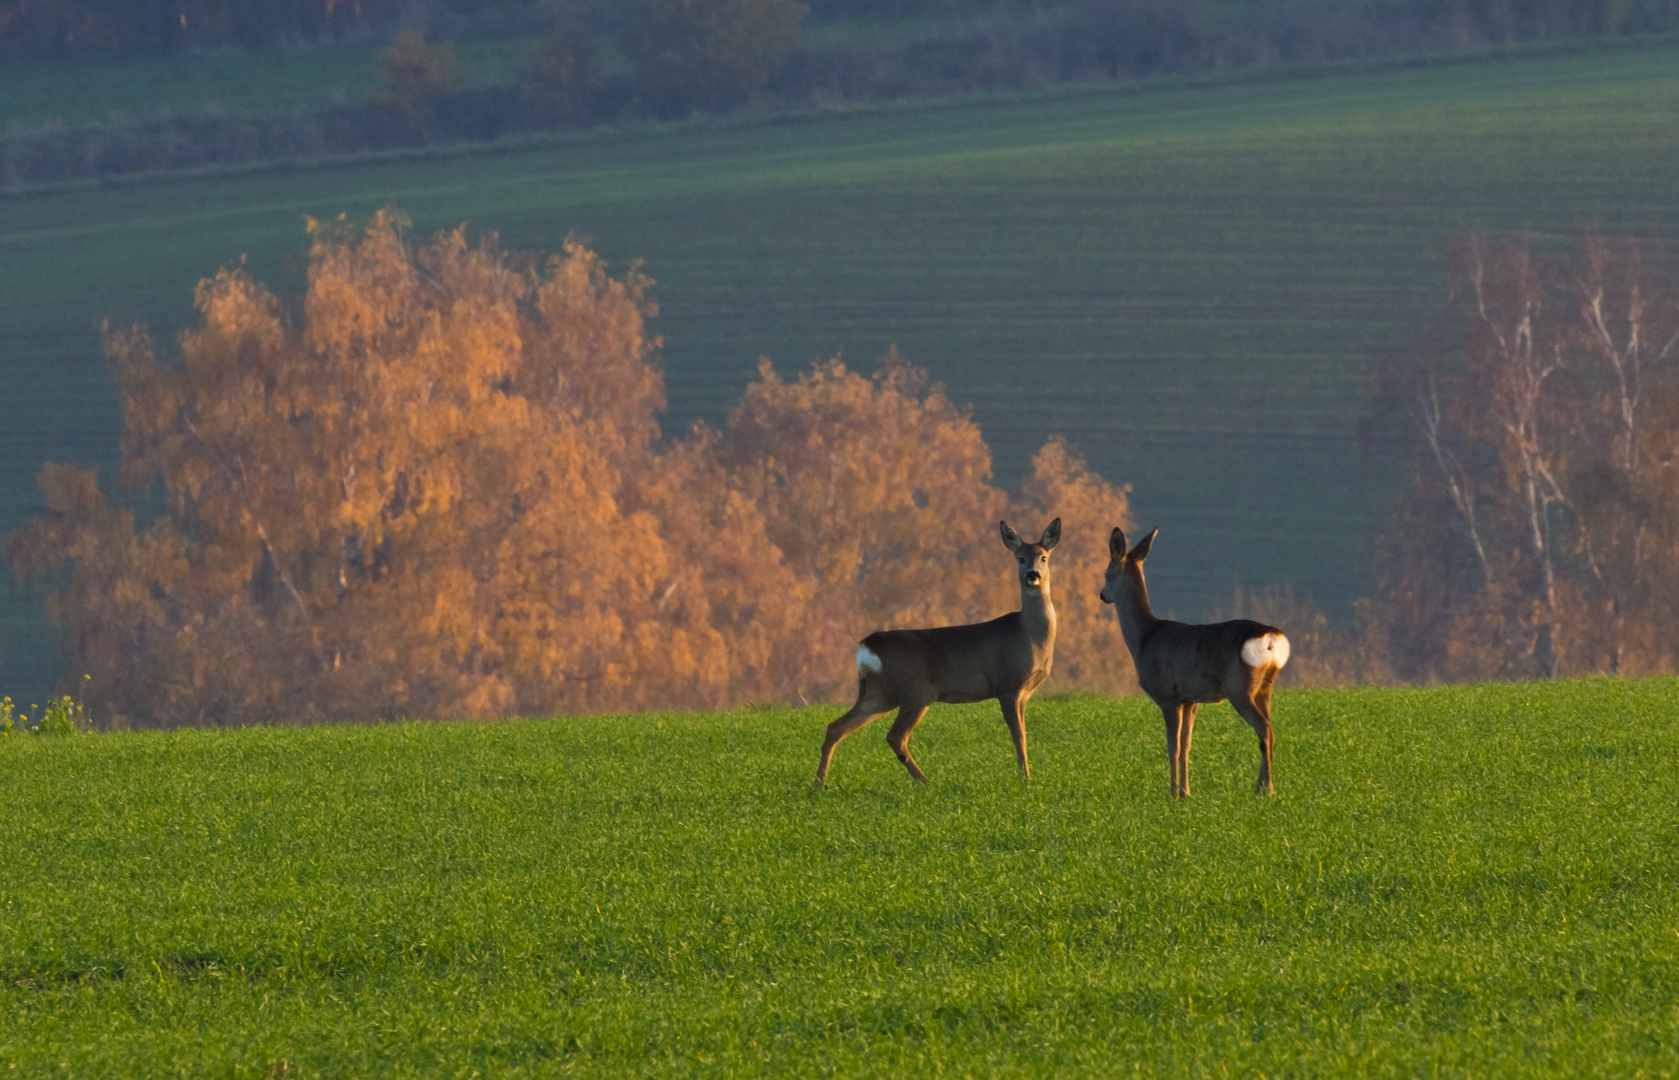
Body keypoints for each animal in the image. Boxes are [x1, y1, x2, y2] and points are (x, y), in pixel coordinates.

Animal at [812, 520, 1061, 789]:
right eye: (1020, 558)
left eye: (1044, 557)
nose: (1033, 575)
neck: (1028, 634)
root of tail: (865, 647)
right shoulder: (1008, 685)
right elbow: (1018, 736)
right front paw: (1025, 779)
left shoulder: (1024, 693)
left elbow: (1023, 733)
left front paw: (1026, 776)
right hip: (915, 691)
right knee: (895, 736)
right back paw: (926, 782)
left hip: (879, 694)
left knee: (835, 727)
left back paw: (818, 784)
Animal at [1094, 527, 1289, 799]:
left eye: (1106, 573)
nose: (1102, 595)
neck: (1144, 638)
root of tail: (1271, 637)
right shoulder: (1190, 699)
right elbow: (1186, 744)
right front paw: (1186, 792)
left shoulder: (1167, 695)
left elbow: (1172, 746)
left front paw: (1173, 793)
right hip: (1265, 686)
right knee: (1271, 730)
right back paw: (1262, 787)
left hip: (1240, 687)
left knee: (1263, 729)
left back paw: (1265, 789)